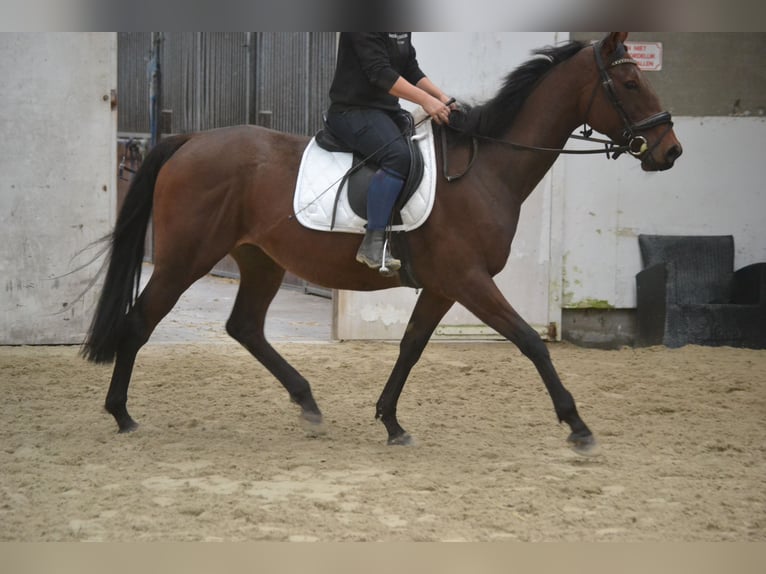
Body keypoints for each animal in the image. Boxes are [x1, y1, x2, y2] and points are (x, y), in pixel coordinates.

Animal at [82, 32, 684, 454]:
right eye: (630, 84)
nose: (670, 150)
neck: (487, 169)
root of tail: (188, 141)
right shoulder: (469, 280)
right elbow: (530, 342)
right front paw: (577, 425)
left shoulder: (443, 286)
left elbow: (411, 346)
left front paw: (392, 422)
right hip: (185, 258)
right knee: (141, 321)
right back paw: (122, 414)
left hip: (261, 261)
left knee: (245, 327)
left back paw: (308, 404)